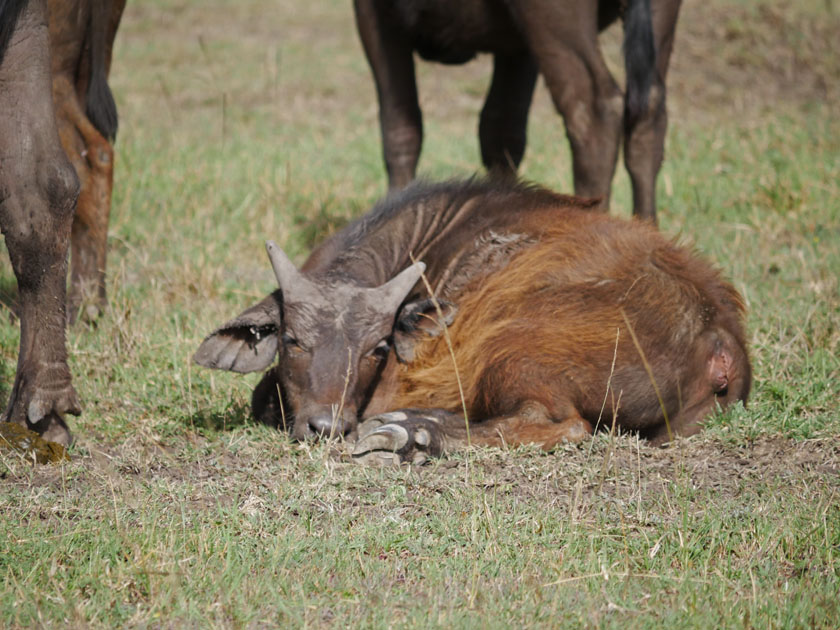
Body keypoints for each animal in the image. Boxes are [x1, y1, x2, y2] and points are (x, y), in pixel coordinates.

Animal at [195, 180, 748, 466]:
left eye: (377, 348)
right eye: (292, 340)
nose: (328, 426)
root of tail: (720, 335)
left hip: (512, 345)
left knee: (561, 424)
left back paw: (412, 436)